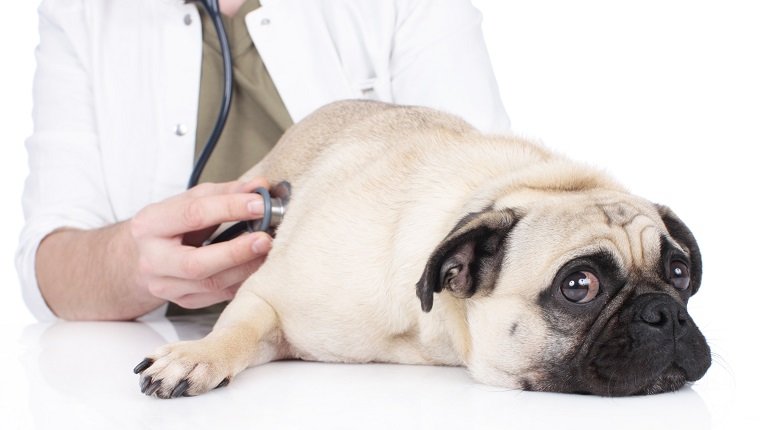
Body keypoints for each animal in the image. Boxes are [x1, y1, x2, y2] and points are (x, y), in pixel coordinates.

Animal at [134, 100, 708, 396]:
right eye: (579, 285)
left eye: (679, 273)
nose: (665, 313)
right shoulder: (270, 297)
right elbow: (238, 329)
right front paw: (199, 355)